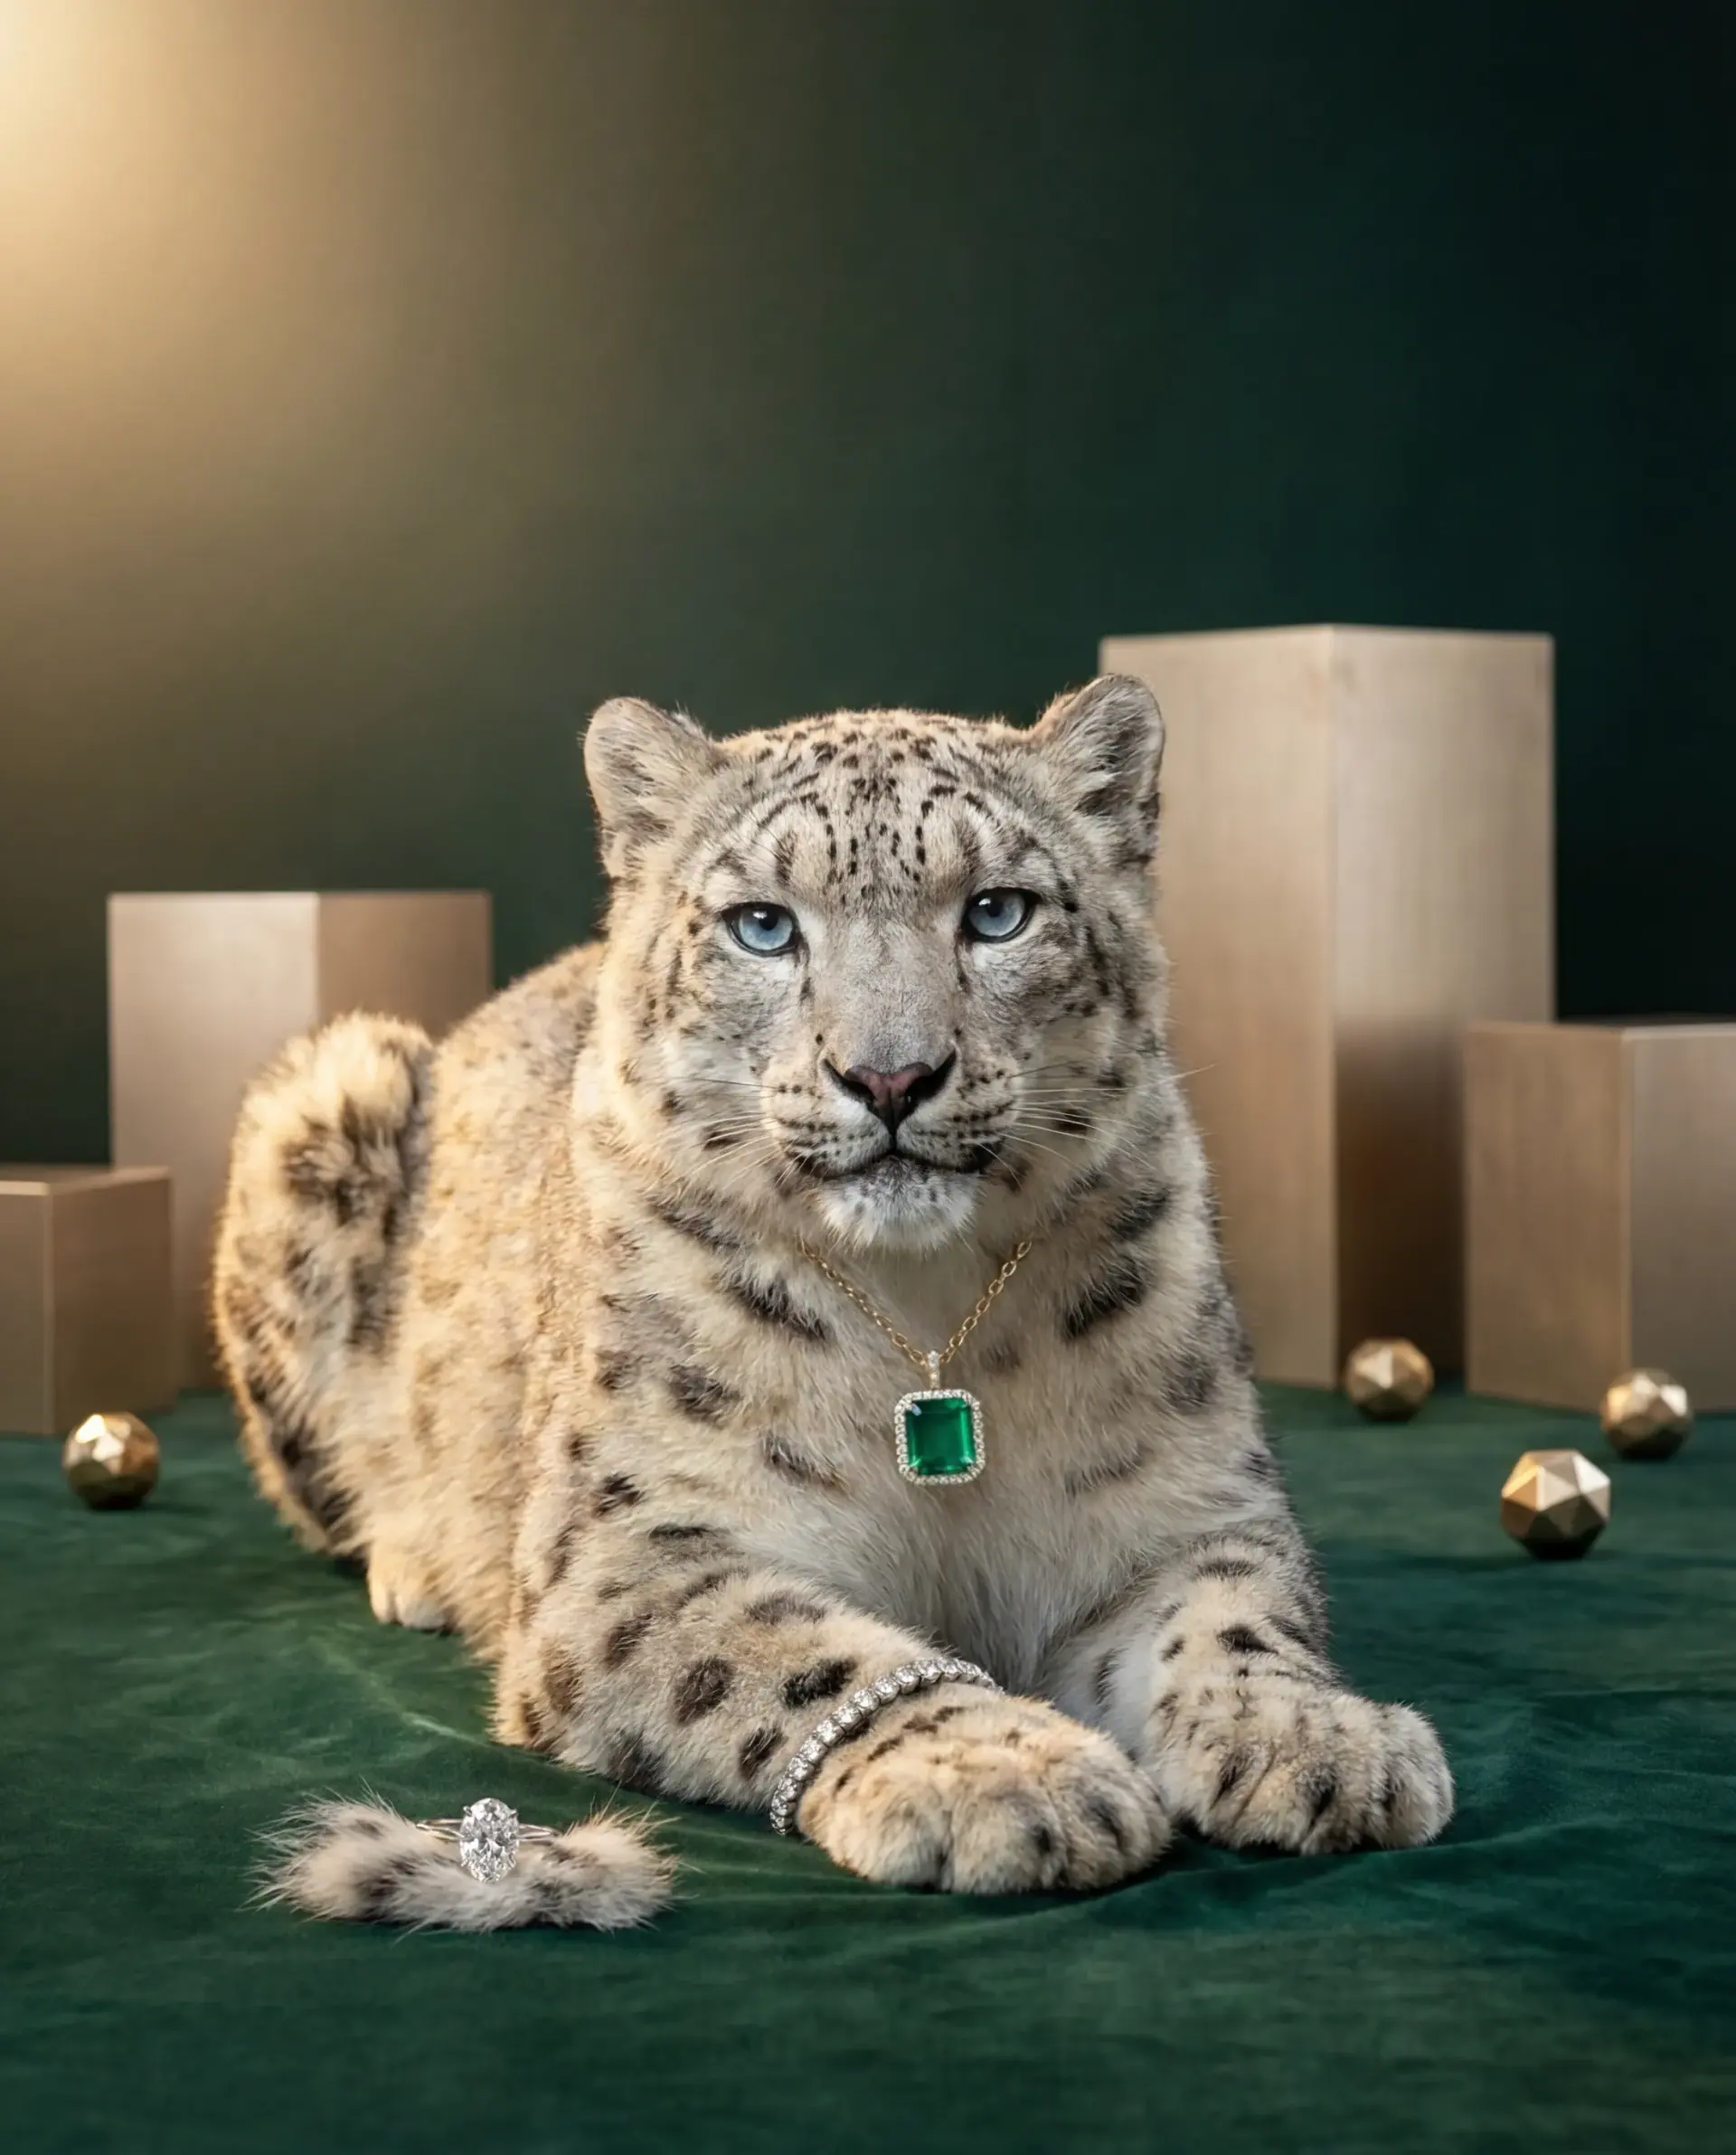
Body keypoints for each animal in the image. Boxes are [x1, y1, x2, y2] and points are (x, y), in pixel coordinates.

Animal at [215, 676, 1453, 1930]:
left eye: (997, 912)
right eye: (763, 924)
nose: (891, 1076)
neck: (932, 1325)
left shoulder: (1181, 1502)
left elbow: (1234, 1616)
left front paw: (1321, 1742)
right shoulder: (631, 1550)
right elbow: (801, 1651)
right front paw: (1007, 1776)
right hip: (324, 1096)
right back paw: (411, 1562)